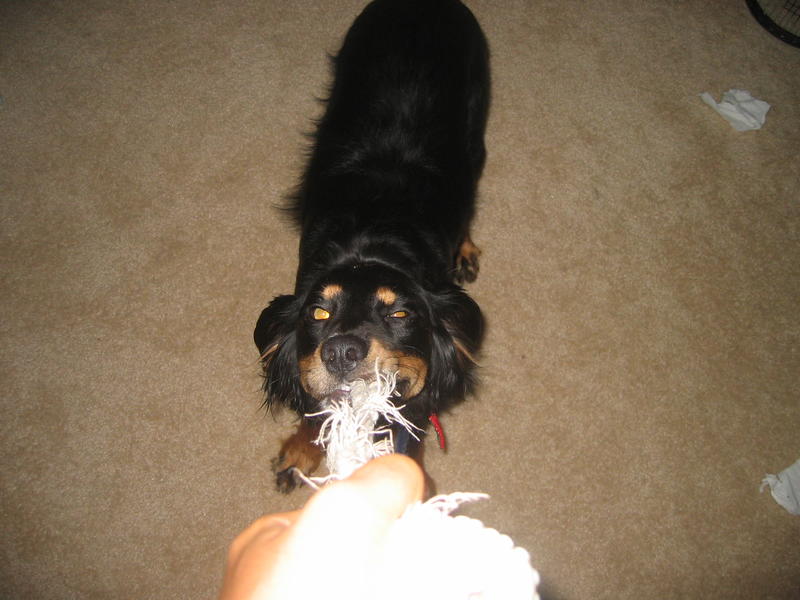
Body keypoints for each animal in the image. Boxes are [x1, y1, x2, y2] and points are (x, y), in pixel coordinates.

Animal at [256, 0, 490, 492]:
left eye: (401, 314)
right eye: (318, 313)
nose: (341, 352)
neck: (371, 240)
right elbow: (317, 406)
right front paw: (301, 451)